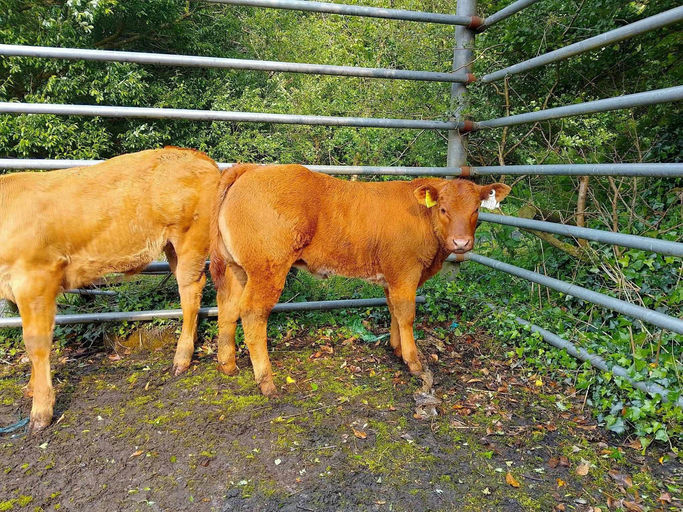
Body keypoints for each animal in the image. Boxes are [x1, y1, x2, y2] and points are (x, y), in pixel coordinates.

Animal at [0, 147, 220, 433]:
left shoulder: (35, 277)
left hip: (190, 239)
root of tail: (196, 156)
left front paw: (40, 411)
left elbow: (36, 342)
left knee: (190, 292)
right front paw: (30, 389)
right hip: (172, 246)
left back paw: (181, 359)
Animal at [209, 164, 510, 396]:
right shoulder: (406, 271)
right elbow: (407, 314)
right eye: (444, 209)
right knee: (252, 313)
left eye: (476, 210)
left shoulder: (393, 276)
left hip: (237, 268)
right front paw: (413, 362)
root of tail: (251, 169)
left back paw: (227, 365)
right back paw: (266, 381)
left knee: (228, 308)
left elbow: (393, 310)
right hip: (268, 269)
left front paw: (396, 349)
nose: (461, 243)